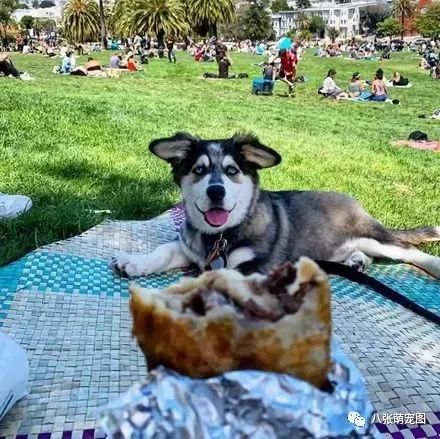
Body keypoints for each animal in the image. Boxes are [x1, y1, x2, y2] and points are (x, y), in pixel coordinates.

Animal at [112, 132, 440, 280]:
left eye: (232, 171)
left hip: (374, 236)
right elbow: (164, 251)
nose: (216, 192)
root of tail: (354, 201)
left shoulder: (259, 268)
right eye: (199, 170)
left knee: (405, 250)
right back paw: (356, 261)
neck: (221, 237)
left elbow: (222, 274)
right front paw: (134, 261)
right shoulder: (189, 246)